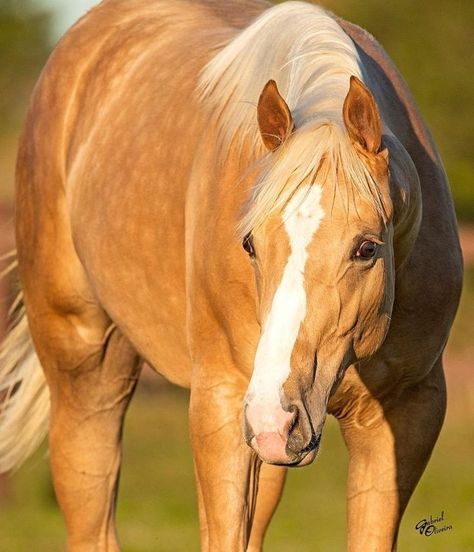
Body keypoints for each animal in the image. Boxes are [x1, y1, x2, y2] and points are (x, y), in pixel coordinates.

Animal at [0, 0, 462, 548]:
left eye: (367, 248)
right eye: (249, 244)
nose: (274, 418)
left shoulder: (405, 415)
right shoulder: (221, 405)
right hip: (87, 374)